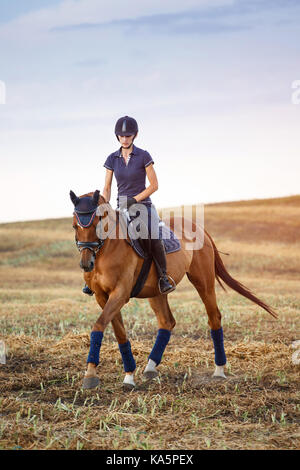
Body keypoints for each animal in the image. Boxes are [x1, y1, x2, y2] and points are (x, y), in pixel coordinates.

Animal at [69, 188, 276, 390]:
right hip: (156, 292)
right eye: (74, 226)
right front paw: (127, 375)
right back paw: (150, 367)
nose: (86, 263)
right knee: (166, 322)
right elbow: (118, 332)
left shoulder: (120, 293)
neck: (108, 249)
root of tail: (199, 228)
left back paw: (219, 371)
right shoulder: (102, 296)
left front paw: (91, 375)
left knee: (214, 318)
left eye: (97, 222)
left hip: (203, 283)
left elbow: (98, 326)